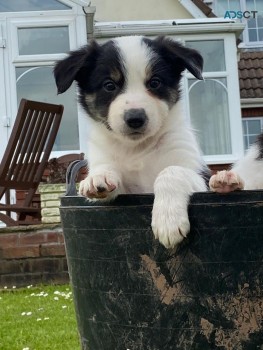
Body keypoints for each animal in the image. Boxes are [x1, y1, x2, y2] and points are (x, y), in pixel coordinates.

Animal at [54, 36, 210, 249]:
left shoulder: (199, 177)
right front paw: (98, 177)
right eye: (109, 85)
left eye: (155, 82)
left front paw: (168, 221)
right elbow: (107, 172)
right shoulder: (124, 188)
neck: (137, 149)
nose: (135, 118)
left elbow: (171, 171)